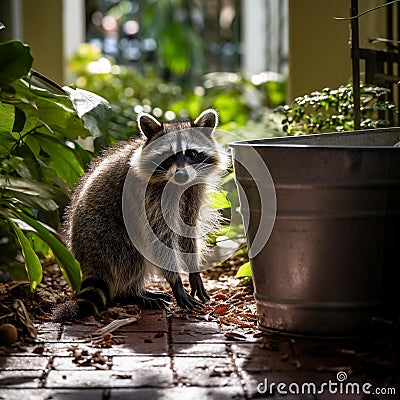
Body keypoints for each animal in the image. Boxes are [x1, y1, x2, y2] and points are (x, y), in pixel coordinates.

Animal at [52, 108, 227, 320]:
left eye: (192, 153)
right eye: (167, 156)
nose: (181, 174)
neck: (177, 184)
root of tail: (87, 261)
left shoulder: (193, 191)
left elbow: (188, 229)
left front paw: (194, 271)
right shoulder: (149, 196)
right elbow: (159, 236)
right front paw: (176, 282)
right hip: (103, 236)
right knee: (130, 255)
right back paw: (129, 293)